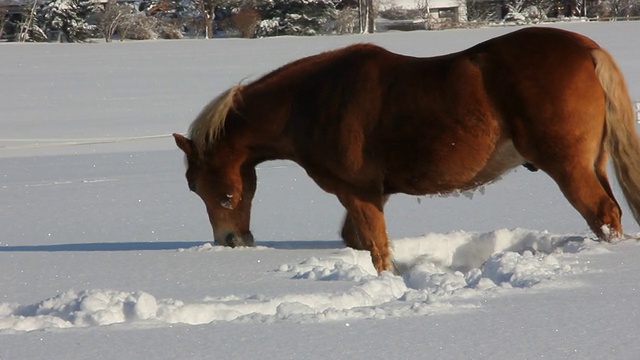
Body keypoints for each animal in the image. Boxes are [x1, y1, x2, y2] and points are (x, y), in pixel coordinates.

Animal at [171, 28, 640, 274]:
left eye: (198, 184)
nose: (231, 241)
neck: (310, 102)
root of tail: (587, 49)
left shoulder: (357, 190)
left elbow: (377, 247)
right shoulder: (370, 194)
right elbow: (357, 241)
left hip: (567, 167)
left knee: (603, 213)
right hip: (592, 164)